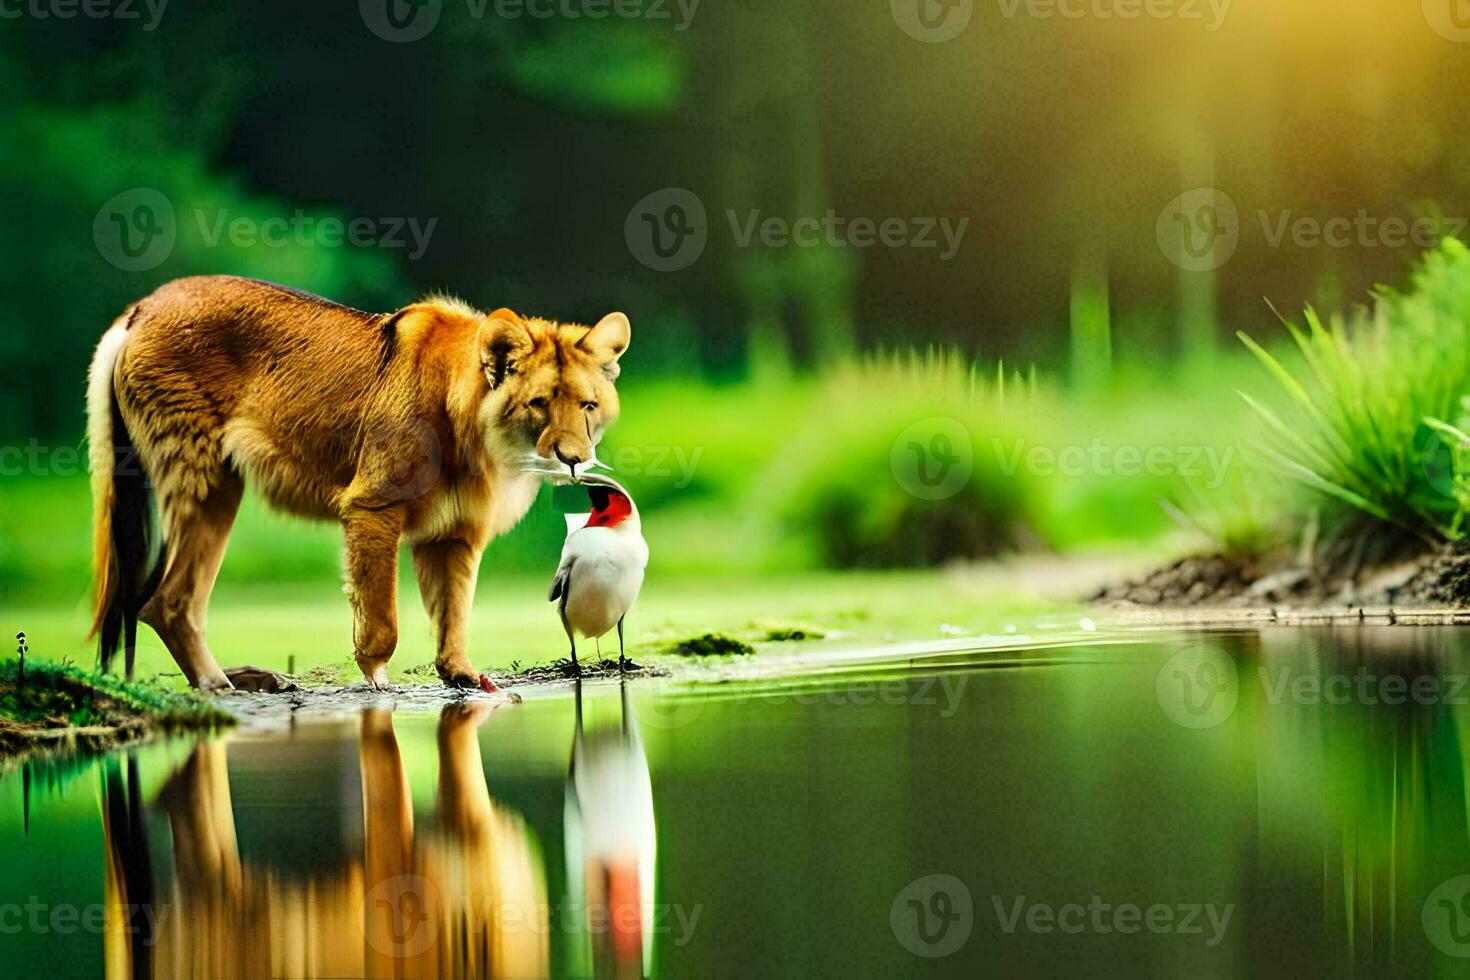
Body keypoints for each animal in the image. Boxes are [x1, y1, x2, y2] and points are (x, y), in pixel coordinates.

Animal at [85, 274, 626, 690]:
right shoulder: (372, 506)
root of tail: (141, 307)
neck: (483, 446)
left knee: (158, 600)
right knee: (166, 602)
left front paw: (463, 677)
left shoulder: (455, 534)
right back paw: (222, 686)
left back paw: (248, 681)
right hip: (205, 478)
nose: (575, 460)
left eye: (588, 405)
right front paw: (377, 683)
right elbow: (382, 620)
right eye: (539, 403)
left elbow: (454, 616)